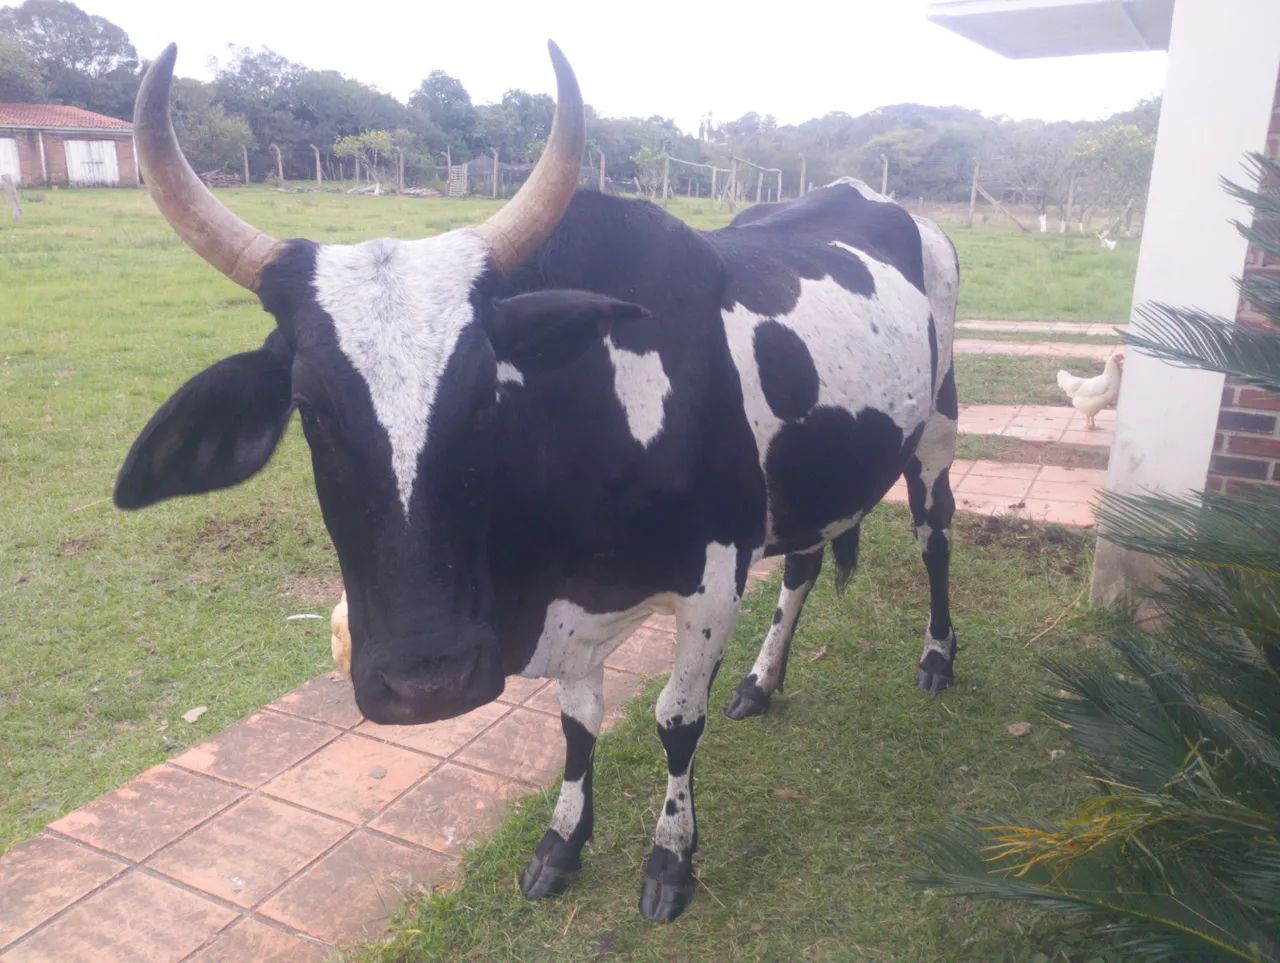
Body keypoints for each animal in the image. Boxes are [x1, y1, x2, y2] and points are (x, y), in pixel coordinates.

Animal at [116, 43, 960, 923]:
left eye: (487, 391)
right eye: (308, 407)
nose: (426, 680)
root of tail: (877, 199)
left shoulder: (714, 577)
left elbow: (675, 719)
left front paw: (670, 856)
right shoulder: (577, 612)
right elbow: (578, 725)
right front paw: (562, 841)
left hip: (936, 426)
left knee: (934, 533)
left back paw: (938, 655)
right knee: (802, 561)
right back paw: (763, 681)